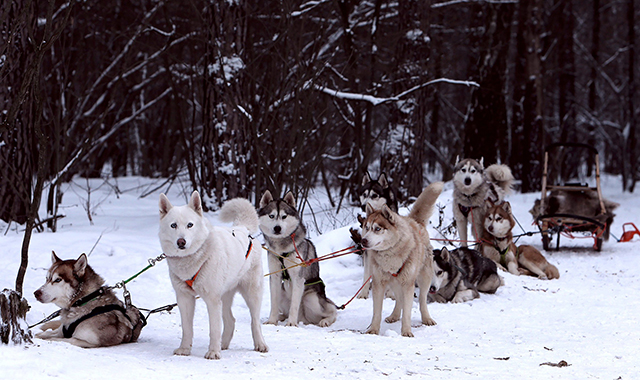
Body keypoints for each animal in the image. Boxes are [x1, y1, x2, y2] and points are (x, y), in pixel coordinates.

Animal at [162, 193, 270, 360]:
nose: (181, 242)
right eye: (173, 225)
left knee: (255, 322)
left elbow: (214, 329)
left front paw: (213, 352)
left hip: (252, 294)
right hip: (224, 297)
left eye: (190, 225)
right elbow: (187, 329)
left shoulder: (212, 300)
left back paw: (260, 344)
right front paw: (184, 349)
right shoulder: (184, 298)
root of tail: (242, 228)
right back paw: (223, 344)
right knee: (230, 320)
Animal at [260, 190, 340, 326]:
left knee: (332, 309)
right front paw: (271, 321)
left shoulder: (298, 278)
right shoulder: (275, 276)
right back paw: (281, 317)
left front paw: (291, 324)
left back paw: (325, 321)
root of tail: (303, 318)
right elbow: (273, 303)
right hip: (283, 293)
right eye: (271, 216)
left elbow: (294, 305)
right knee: (284, 311)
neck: (282, 250)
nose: (277, 228)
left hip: (311, 298)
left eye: (284, 216)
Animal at [362, 183, 442, 336]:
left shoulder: (408, 284)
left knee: (422, 301)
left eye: (377, 229)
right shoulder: (379, 283)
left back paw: (427, 318)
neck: (390, 256)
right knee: (399, 299)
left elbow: (407, 313)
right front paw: (373, 329)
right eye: (367, 228)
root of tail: (415, 221)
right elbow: (377, 312)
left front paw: (406, 332)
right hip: (395, 282)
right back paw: (394, 315)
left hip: (423, 278)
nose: (363, 240)